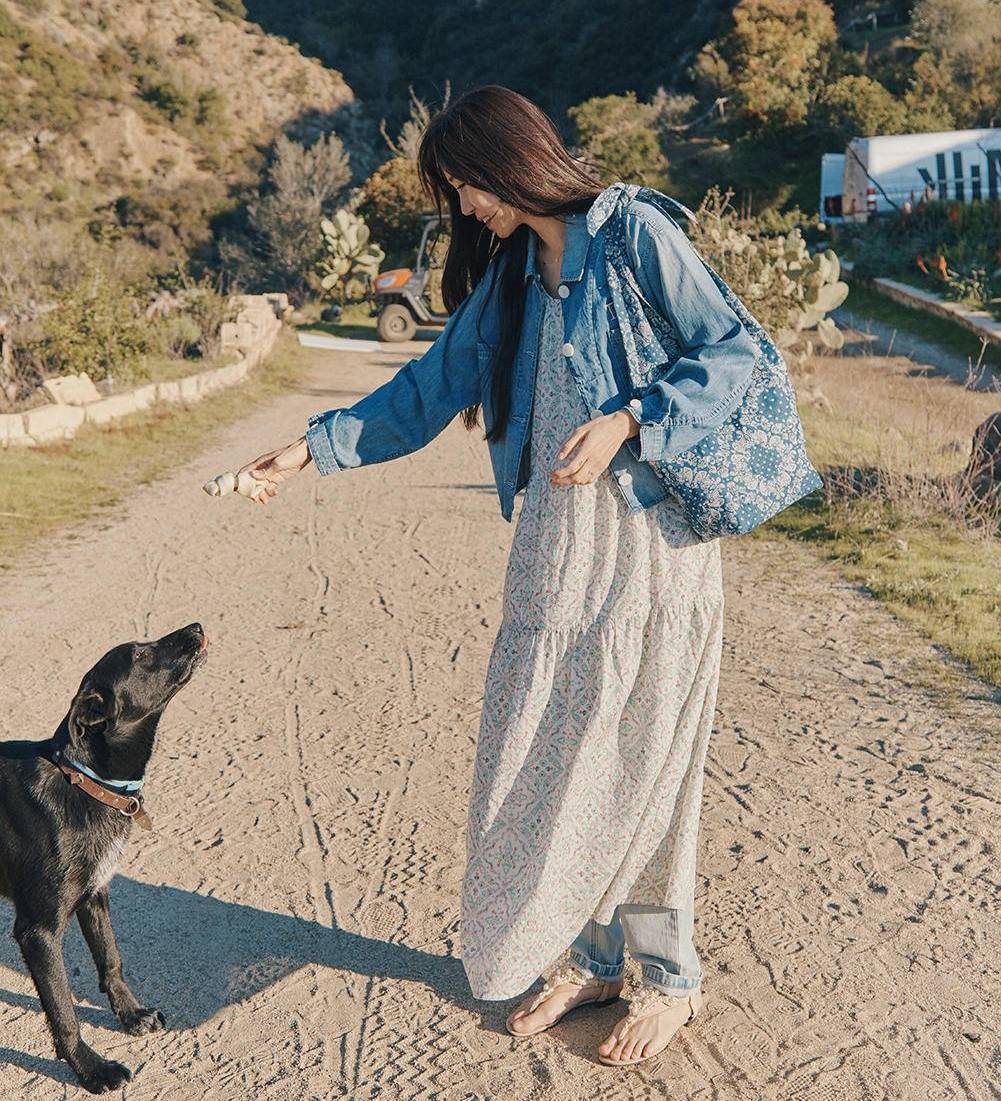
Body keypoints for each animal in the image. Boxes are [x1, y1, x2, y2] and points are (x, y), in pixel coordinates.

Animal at [0, 625, 207, 1087]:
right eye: (141, 654)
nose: (198, 628)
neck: (82, 781)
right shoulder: (37, 931)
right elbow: (63, 1010)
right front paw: (92, 1069)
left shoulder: (95, 893)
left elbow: (111, 959)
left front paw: (131, 1015)